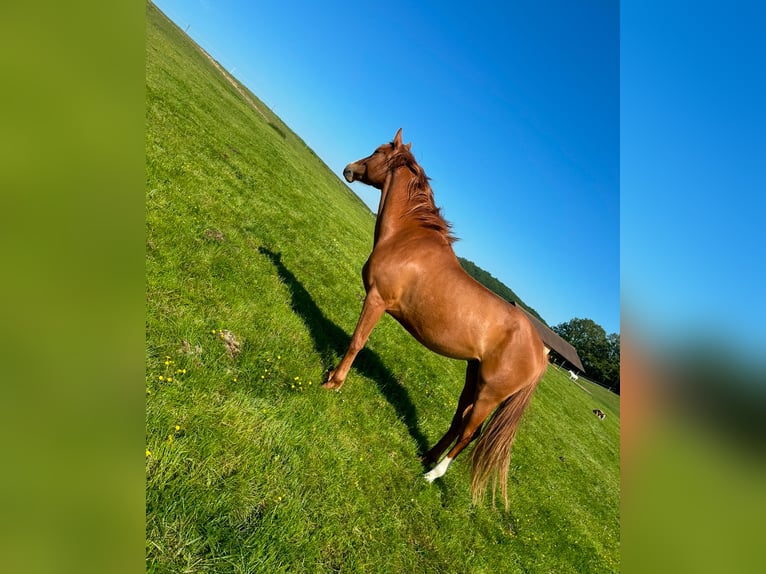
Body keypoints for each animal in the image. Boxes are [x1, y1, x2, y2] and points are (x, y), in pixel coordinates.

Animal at [326, 128, 552, 506]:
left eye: (377, 151)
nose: (349, 169)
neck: (407, 238)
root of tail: (541, 354)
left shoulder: (377, 301)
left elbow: (357, 341)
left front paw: (333, 381)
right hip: (474, 375)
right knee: (459, 419)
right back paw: (427, 455)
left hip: (490, 394)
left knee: (470, 432)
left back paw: (433, 473)